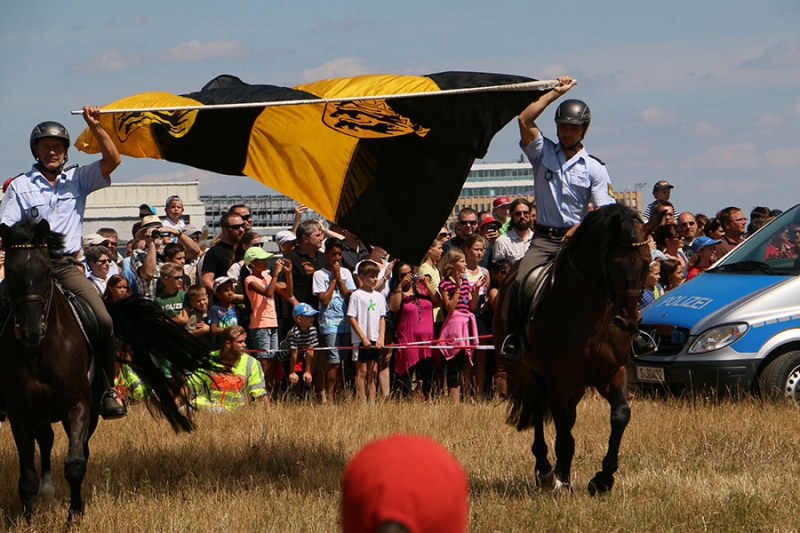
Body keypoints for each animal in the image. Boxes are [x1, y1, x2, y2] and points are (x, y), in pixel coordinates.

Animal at [0, 219, 217, 520]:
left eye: (45, 270)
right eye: (10, 271)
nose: (31, 331)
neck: (40, 350)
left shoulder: (79, 405)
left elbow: (75, 463)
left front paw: (75, 514)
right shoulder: (19, 411)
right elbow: (27, 475)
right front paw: (28, 518)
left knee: (72, 446)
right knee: (45, 440)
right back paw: (47, 490)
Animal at [496, 204, 652, 494]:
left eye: (647, 262)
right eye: (614, 262)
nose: (628, 322)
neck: (593, 314)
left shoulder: (612, 373)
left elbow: (620, 416)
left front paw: (603, 479)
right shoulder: (557, 379)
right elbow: (563, 435)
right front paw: (562, 480)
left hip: (577, 386)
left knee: (566, 417)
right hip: (522, 372)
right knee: (538, 408)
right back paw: (546, 472)